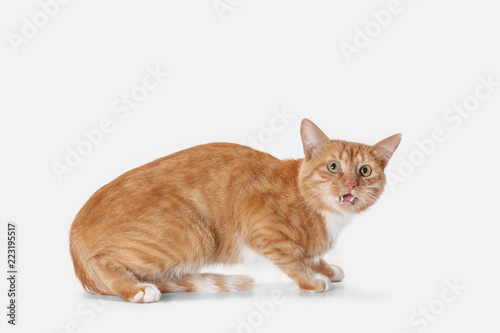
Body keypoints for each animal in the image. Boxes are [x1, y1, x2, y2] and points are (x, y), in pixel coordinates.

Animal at [68, 118, 402, 300]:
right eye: (333, 167)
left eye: (365, 171)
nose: (350, 184)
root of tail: (74, 236)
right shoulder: (258, 224)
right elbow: (292, 257)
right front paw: (311, 280)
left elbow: (311, 255)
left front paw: (325, 267)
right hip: (195, 235)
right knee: (102, 261)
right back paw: (136, 290)